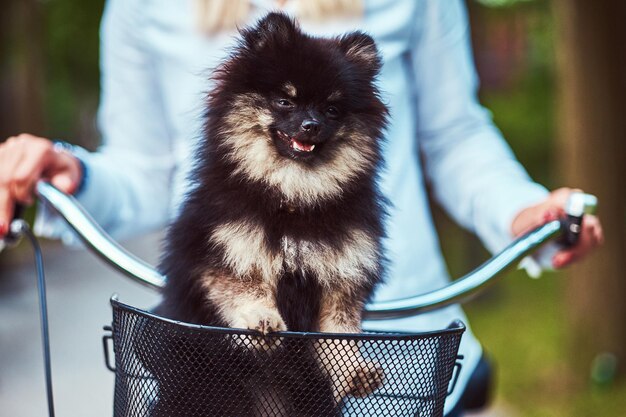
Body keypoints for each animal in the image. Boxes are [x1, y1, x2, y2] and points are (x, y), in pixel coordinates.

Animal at [150, 13, 386, 416]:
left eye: (332, 109)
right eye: (284, 101)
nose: (311, 125)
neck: (294, 197)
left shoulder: (340, 277)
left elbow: (339, 332)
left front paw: (355, 370)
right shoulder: (226, 252)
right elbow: (244, 288)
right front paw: (262, 320)